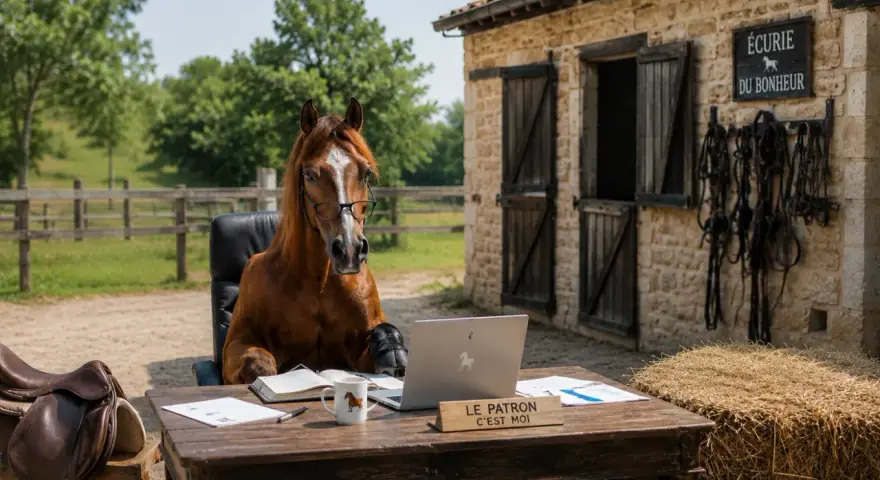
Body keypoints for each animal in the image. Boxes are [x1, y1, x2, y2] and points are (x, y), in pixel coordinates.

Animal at [221, 97, 408, 385]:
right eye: (309, 174)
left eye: (365, 173)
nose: (350, 250)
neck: (318, 283)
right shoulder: (236, 344)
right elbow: (259, 364)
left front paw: (390, 348)